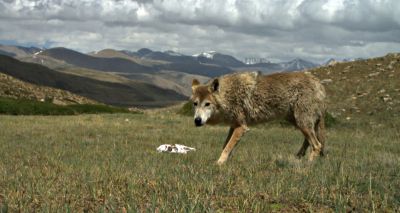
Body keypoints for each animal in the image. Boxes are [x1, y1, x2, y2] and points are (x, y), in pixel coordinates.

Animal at [191, 71, 328, 165]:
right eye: (195, 104)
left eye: (207, 104)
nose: (197, 120)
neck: (228, 96)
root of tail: (318, 83)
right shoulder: (234, 126)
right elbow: (225, 146)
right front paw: (226, 161)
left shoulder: (241, 127)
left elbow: (227, 147)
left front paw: (219, 163)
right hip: (299, 123)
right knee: (310, 142)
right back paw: (298, 158)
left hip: (302, 123)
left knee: (317, 145)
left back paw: (308, 165)